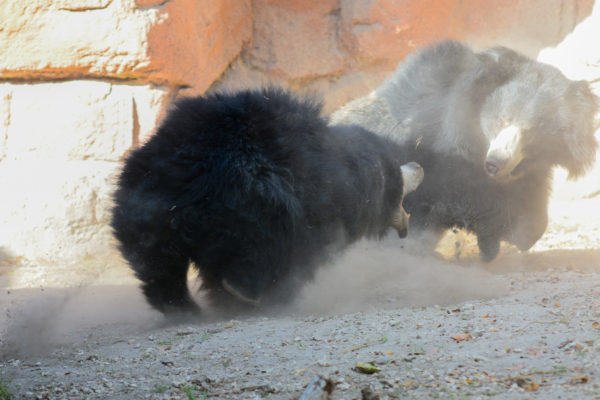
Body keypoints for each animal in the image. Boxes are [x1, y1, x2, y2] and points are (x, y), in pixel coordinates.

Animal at [111, 87, 422, 316]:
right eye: (397, 176)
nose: (418, 166)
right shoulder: (316, 211)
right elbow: (303, 256)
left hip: (141, 199)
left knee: (155, 262)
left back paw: (181, 307)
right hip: (255, 207)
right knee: (257, 253)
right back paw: (246, 294)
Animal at [332, 39, 600, 260]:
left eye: (530, 132)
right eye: (501, 120)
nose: (495, 163)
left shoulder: (529, 171)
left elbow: (530, 205)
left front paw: (517, 233)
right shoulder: (445, 158)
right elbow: (465, 200)